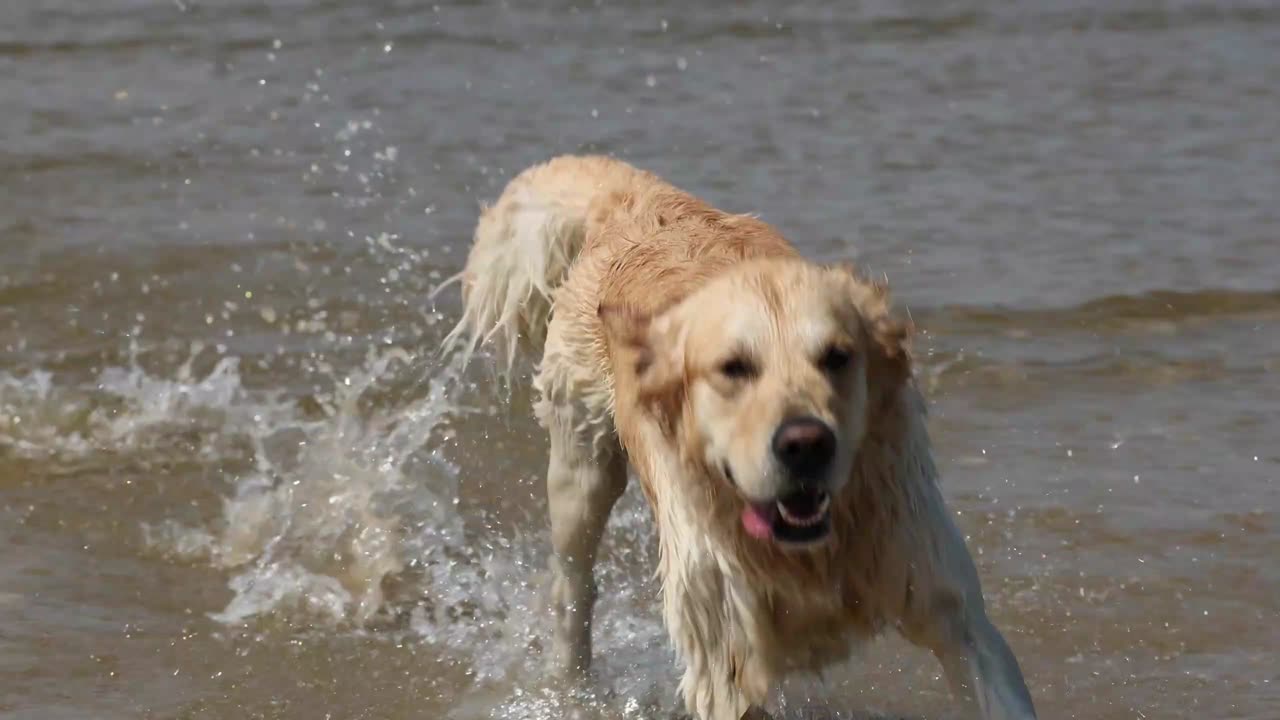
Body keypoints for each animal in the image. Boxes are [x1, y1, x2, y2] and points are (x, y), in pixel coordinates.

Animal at [445, 156, 1034, 717]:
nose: (805, 444)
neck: (808, 554)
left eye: (837, 357)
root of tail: (631, 197)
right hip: (581, 463)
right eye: (733, 368)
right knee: (572, 584)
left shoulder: (950, 607)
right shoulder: (722, 656)